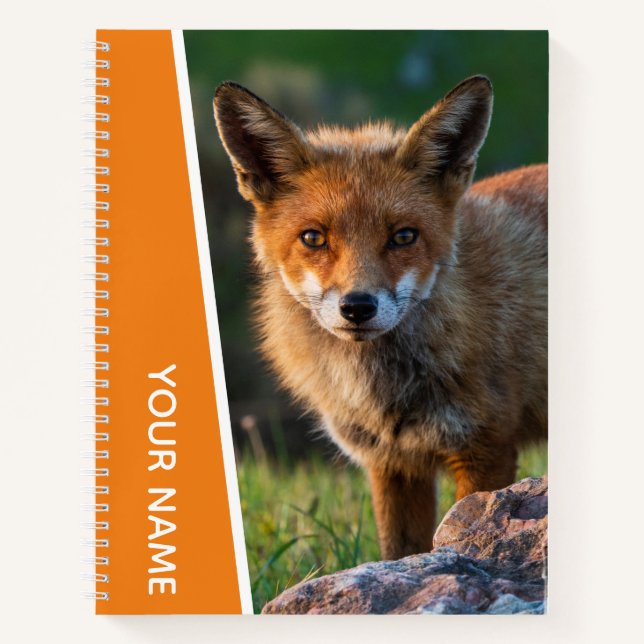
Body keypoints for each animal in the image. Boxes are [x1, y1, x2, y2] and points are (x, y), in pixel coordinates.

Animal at [213, 75, 547, 560]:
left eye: (403, 236)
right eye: (313, 238)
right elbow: (400, 552)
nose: (357, 306)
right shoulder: (391, 462)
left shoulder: (485, 448)